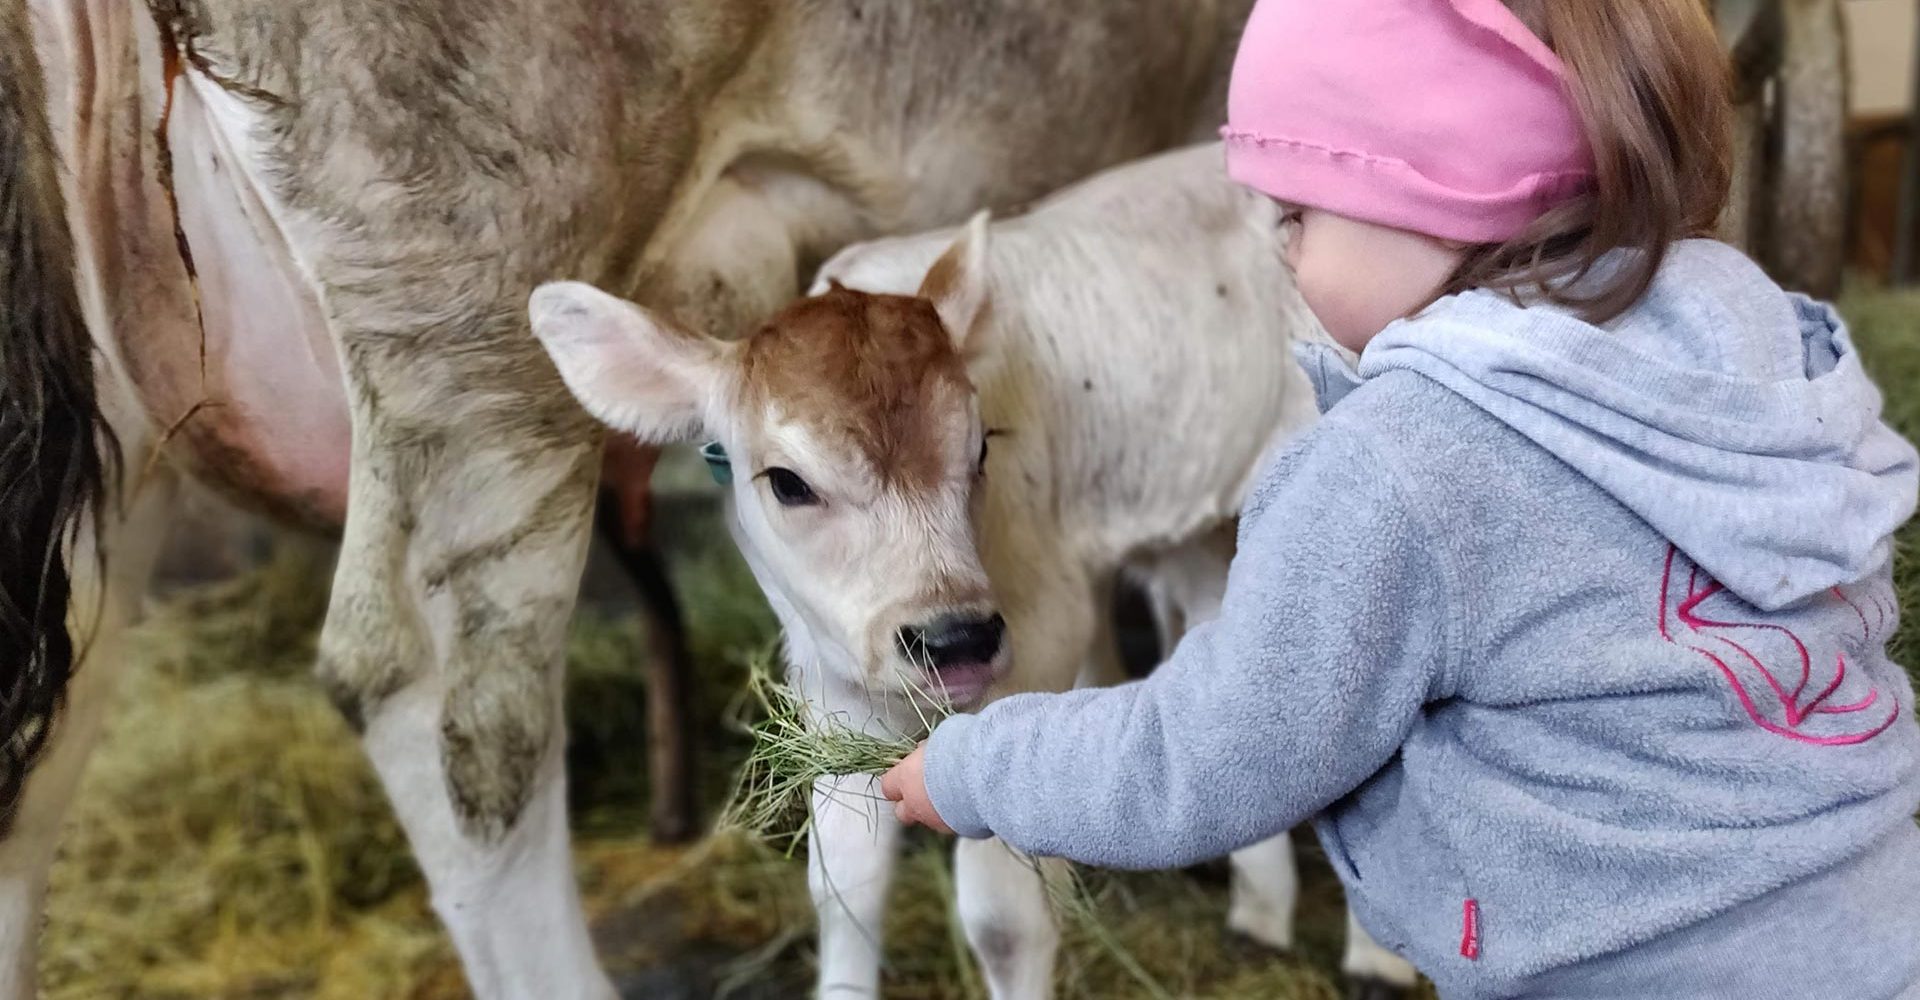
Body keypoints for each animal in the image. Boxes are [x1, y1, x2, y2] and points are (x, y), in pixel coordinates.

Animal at [529, 142, 1428, 998]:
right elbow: (843, 887)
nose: (953, 638)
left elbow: (1002, 920)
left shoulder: (1040, 637)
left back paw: (1375, 960)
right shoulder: (827, 688)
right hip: (1214, 524)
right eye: (787, 483)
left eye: (981, 450)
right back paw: (1260, 914)